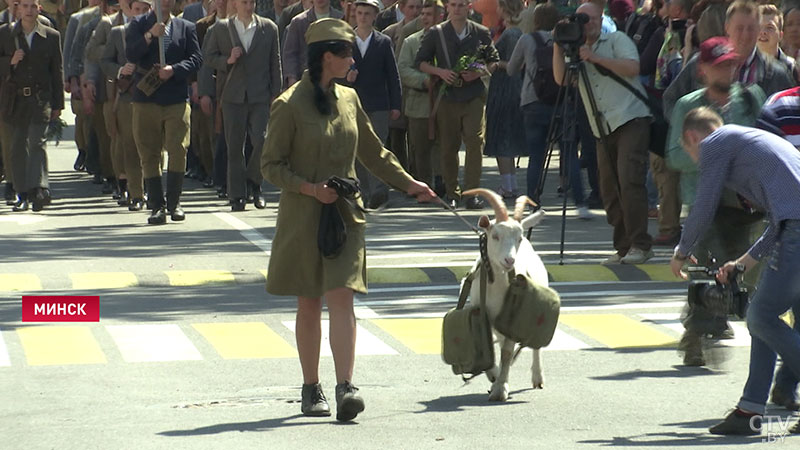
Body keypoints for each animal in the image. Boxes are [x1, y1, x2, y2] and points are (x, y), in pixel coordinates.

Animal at [462, 188, 552, 402]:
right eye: (495, 235)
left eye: (518, 238)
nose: (510, 260)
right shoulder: (483, 314)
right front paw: (493, 375)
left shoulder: (513, 318)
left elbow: (506, 353)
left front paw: (500, 389)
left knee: (534, 346)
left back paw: (537, 378)